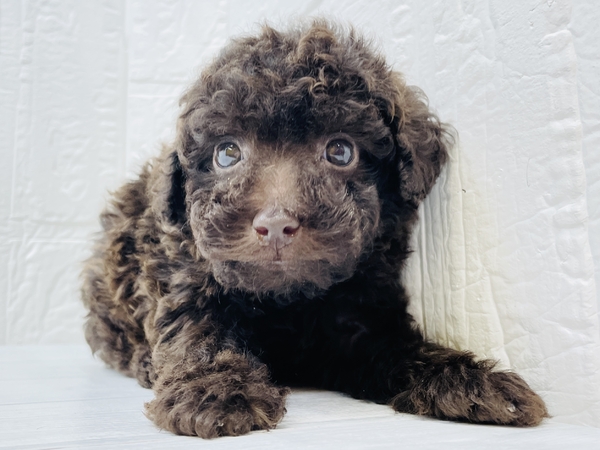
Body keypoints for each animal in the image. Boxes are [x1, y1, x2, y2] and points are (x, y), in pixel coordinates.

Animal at [82, 21, 548, 438]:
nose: (274, 224)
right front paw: (215, 391)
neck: (290, 300)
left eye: (340, 151)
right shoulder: (188, 281)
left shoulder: (362, 320)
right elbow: (202, 334)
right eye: (227, 154)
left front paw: (473, 383)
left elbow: (402, 349)